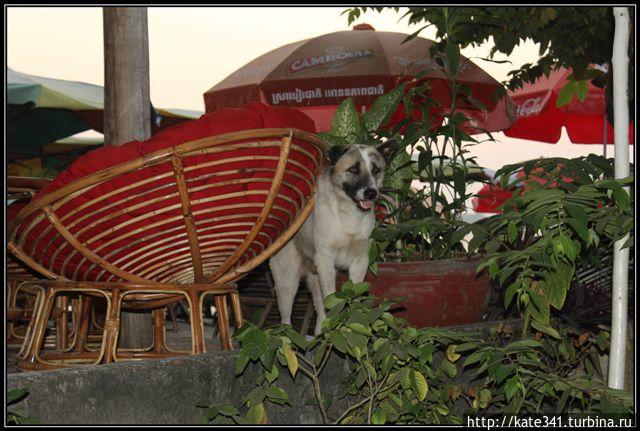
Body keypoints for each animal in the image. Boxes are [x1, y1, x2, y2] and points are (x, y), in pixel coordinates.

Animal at [268, 140, 396, 336]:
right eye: (354, 169)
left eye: (376, 170)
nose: (371, 193)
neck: (348, 216)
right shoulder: (325, 260)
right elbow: (331, 299)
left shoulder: (359, 261)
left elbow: (353, 297)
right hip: (287, 282)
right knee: (286, 319)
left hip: (314, 276)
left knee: (320, 310)